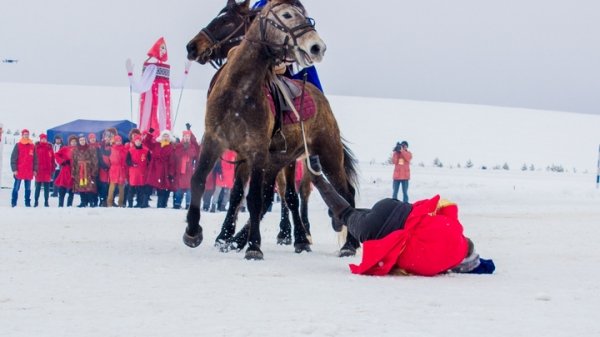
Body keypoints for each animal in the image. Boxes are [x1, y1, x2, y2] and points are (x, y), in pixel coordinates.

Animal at [183, 0, 358, 258]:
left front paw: (253, 246)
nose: (193, 46)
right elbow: (201, 181)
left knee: (346, 192)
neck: (238, 92)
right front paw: (196, 232)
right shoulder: (215, 141)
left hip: (328, 154)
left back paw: (348, 244)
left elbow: (254, 198)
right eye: (287, 15)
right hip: (281, 159)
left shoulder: (256, 151)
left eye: (226, 21)